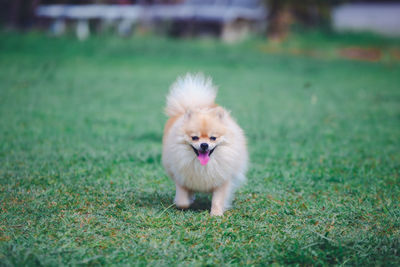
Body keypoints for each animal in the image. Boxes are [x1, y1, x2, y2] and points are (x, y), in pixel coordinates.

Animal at [162, 74, 248, 218]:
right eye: (194, 137)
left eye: (213, 138)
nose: (204, 144)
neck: (203, 166)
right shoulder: (181, 177)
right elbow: (182, 200)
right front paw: (186, 204)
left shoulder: (222, 180)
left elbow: (218, 199)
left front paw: (216, 213)